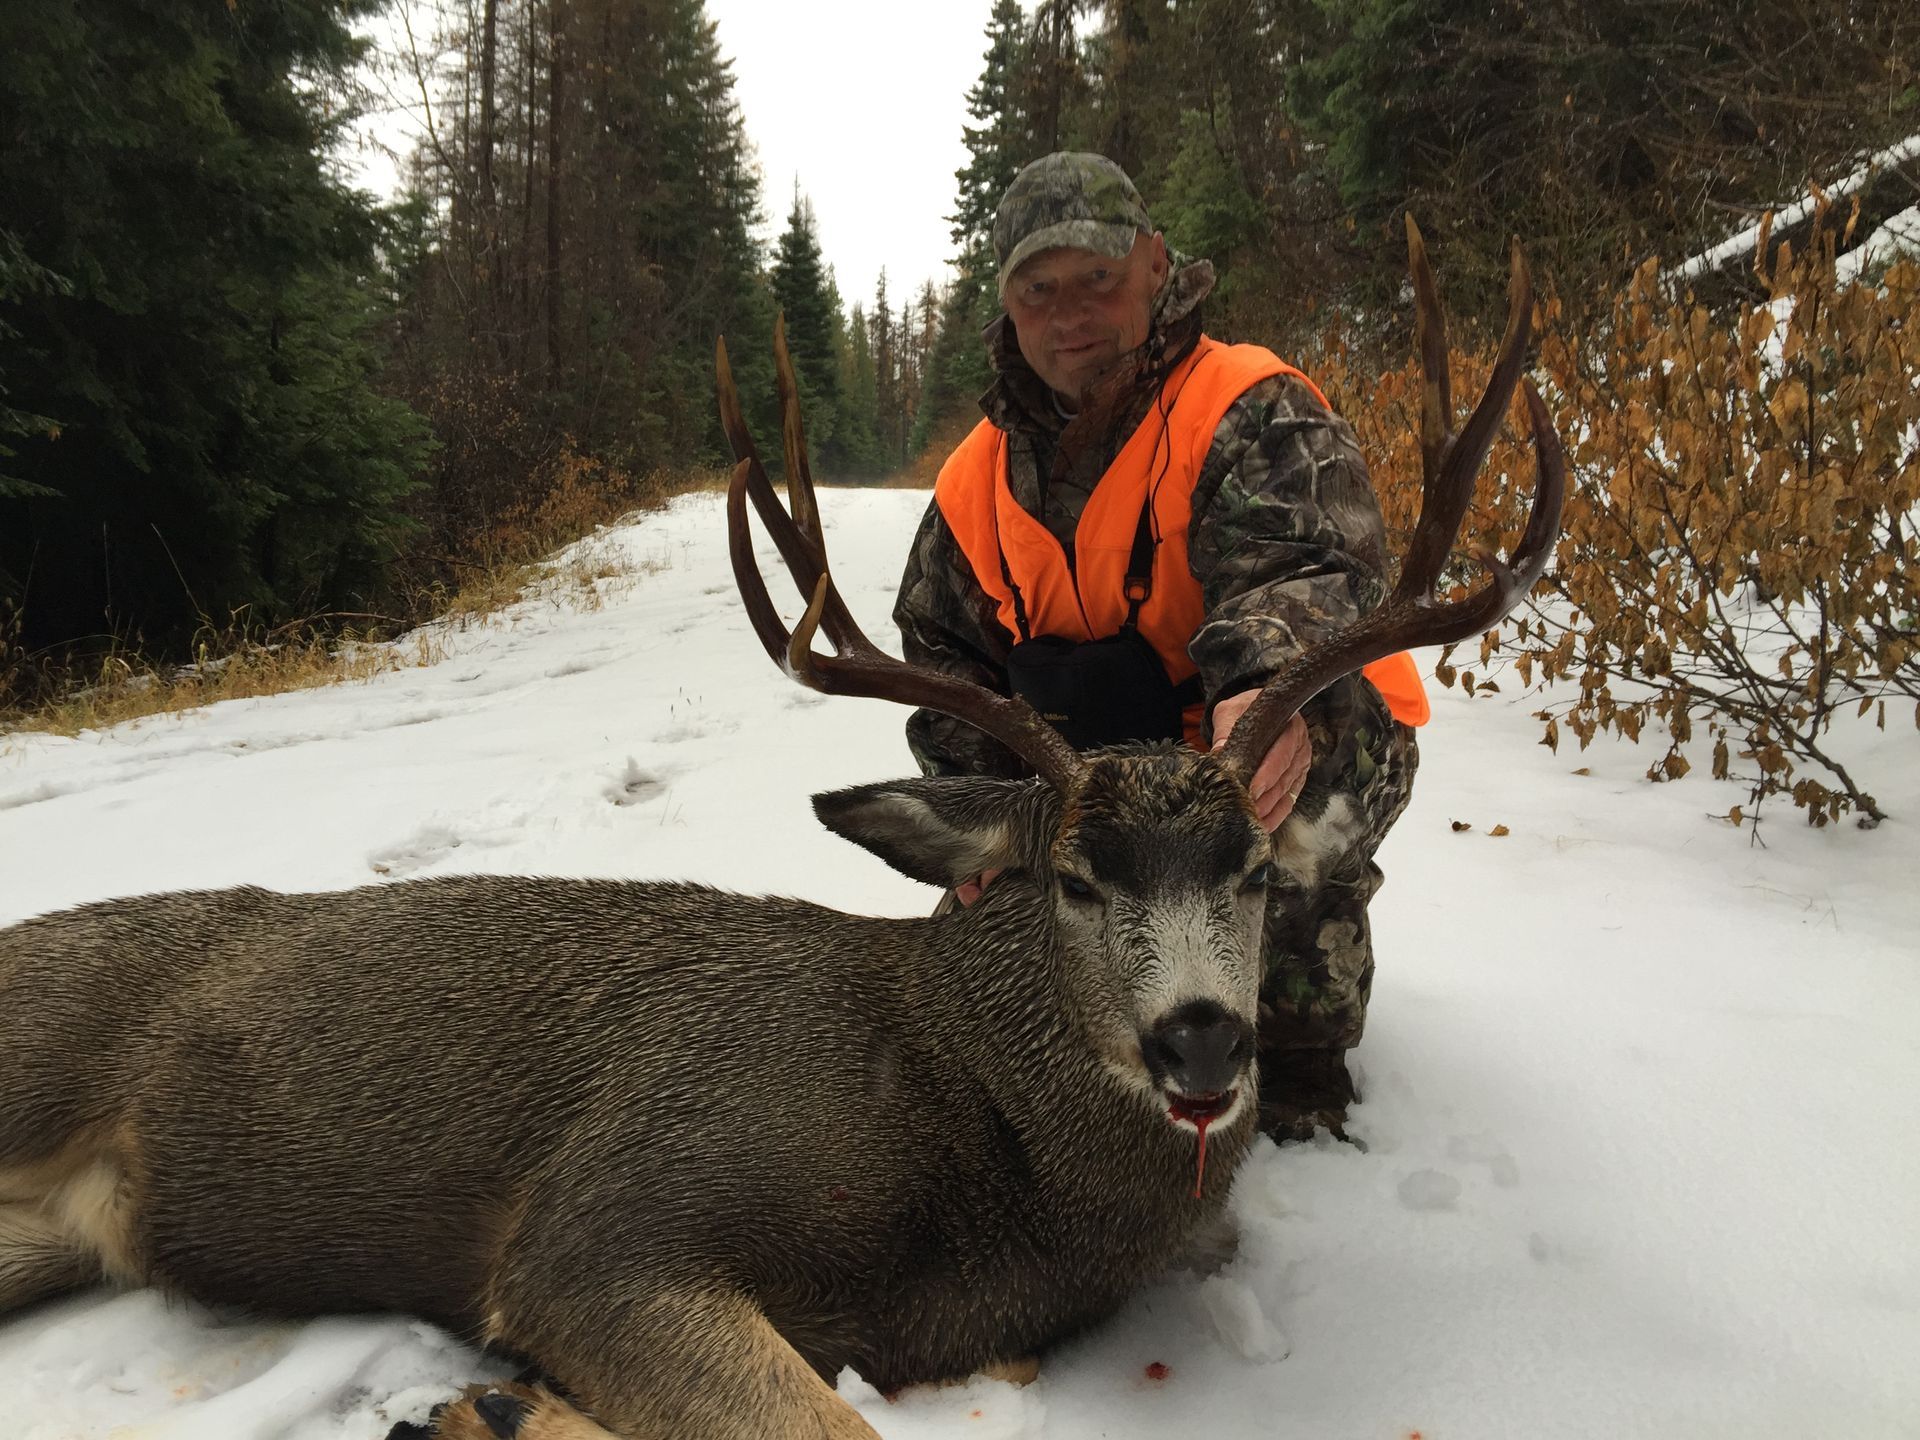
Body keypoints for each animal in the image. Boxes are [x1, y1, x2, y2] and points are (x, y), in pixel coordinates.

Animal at [0, 222, 1561, 1440]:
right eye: (1070, 878)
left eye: (1244, 871)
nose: (1200, 1041)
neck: (963, 1122)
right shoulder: (616, 1208)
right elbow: (808, 1415)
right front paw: (484, 1399)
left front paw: (486, 1403)